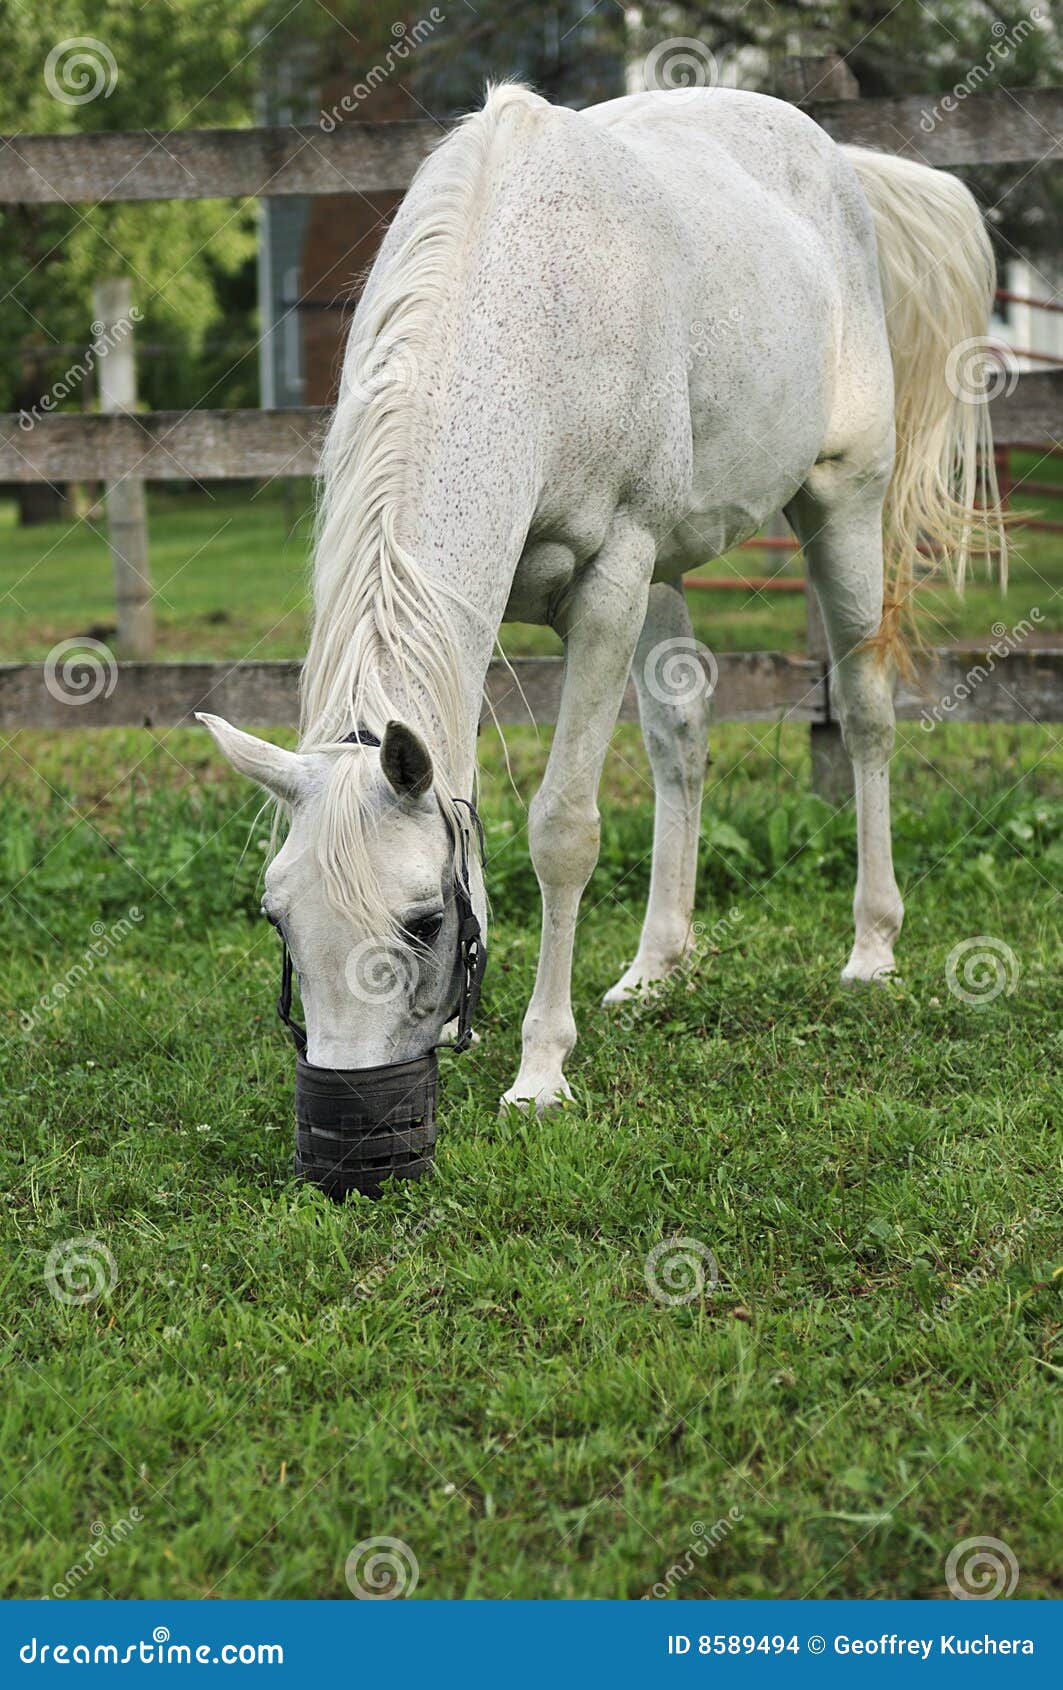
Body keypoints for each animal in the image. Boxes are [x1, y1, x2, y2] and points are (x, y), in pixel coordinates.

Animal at [196, 89, 993, 1122]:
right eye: (278, 917)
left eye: (422, 921)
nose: (349, 1105)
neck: (533, 314)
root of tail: (835, 159)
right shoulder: (486, 617)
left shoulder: (612, 582)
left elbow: (562, 831)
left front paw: (541, 1068)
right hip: (669, 575)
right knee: (681, 734)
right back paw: (655, 967)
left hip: (841, 504)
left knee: (864, 713)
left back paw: (870, 946)